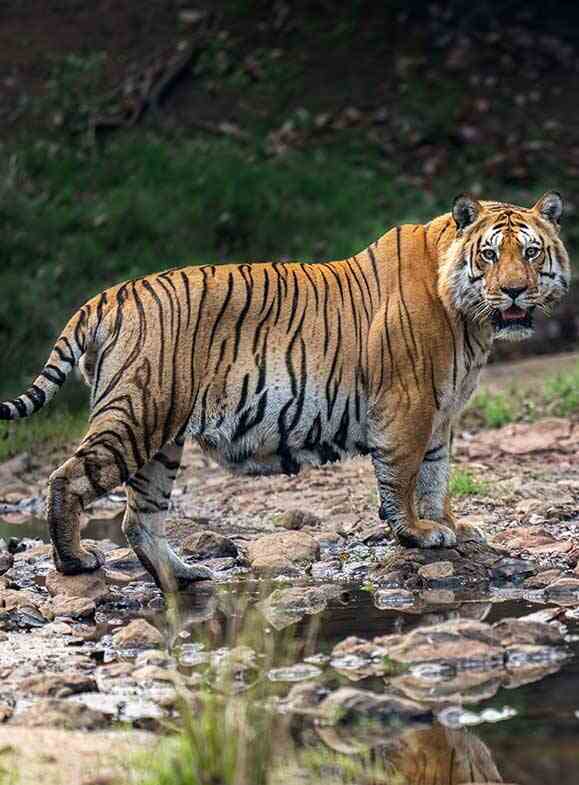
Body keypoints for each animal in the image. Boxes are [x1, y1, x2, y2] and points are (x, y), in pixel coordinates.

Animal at [0, 191, 572, 588]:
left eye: (532, 252)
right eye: (491, 255)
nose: (515, 290)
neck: (470, 321)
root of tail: (109, 295)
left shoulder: (441, 414)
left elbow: (436, 476)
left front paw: (450, 524)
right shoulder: (407, 406)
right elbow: (404, 477)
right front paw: (415, 532)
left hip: (162, 437)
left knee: (139, 516)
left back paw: (184, 574)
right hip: (138, 413)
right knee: (67, 478)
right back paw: (75, 562)